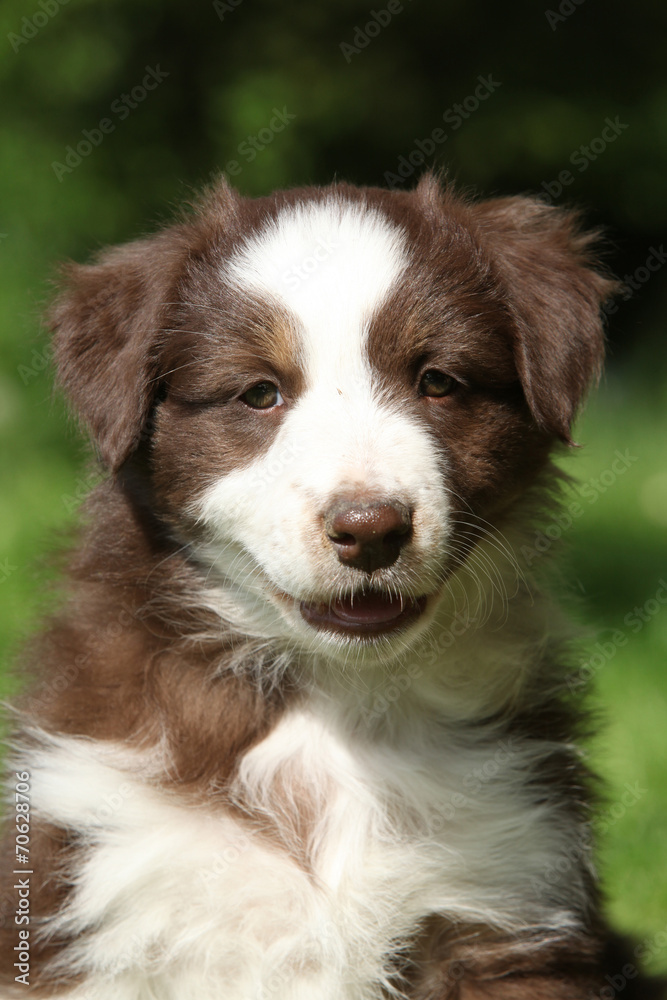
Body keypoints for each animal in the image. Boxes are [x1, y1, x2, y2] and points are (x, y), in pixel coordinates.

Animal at [0, 176, 656, 996]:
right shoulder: (107, 885)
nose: (371, 528)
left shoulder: (509, 890)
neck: (336, 700)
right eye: (259, 393)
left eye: (437, 382)